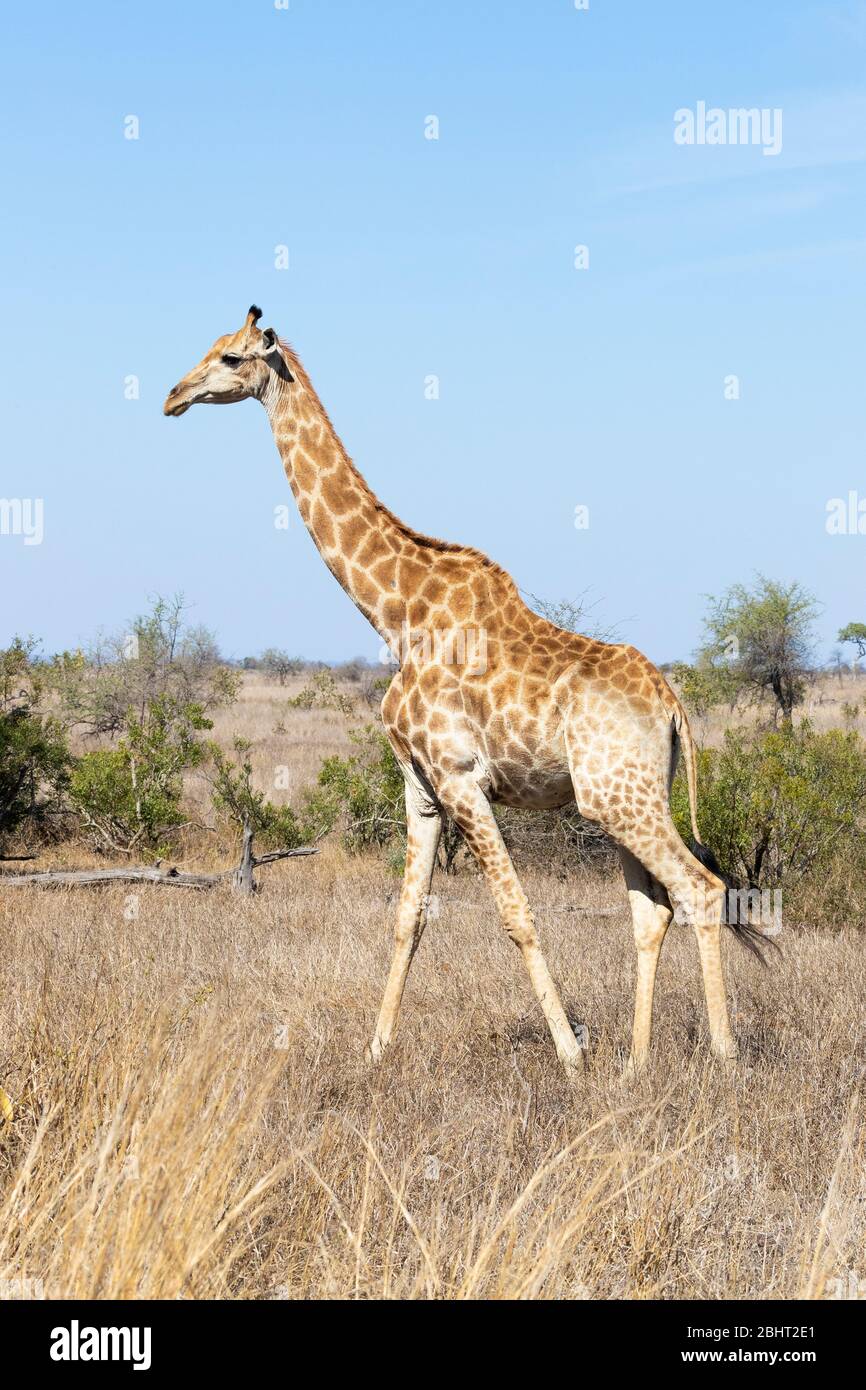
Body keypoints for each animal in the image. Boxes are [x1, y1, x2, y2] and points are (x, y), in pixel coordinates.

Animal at [164, 309, 756, 1078]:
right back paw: (635, 1063)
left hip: (621, 799)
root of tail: (672, 704)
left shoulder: (461, 778)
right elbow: (407, 917)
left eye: (231, 359)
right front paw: (376, 1050)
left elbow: (516, 915)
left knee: (700, 890)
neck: (397, 614)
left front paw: (570, 1055)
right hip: (624, 797)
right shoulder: (420, 785)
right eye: (207, 349)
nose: (172, 396)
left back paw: (723, 1057)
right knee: (651, 909)